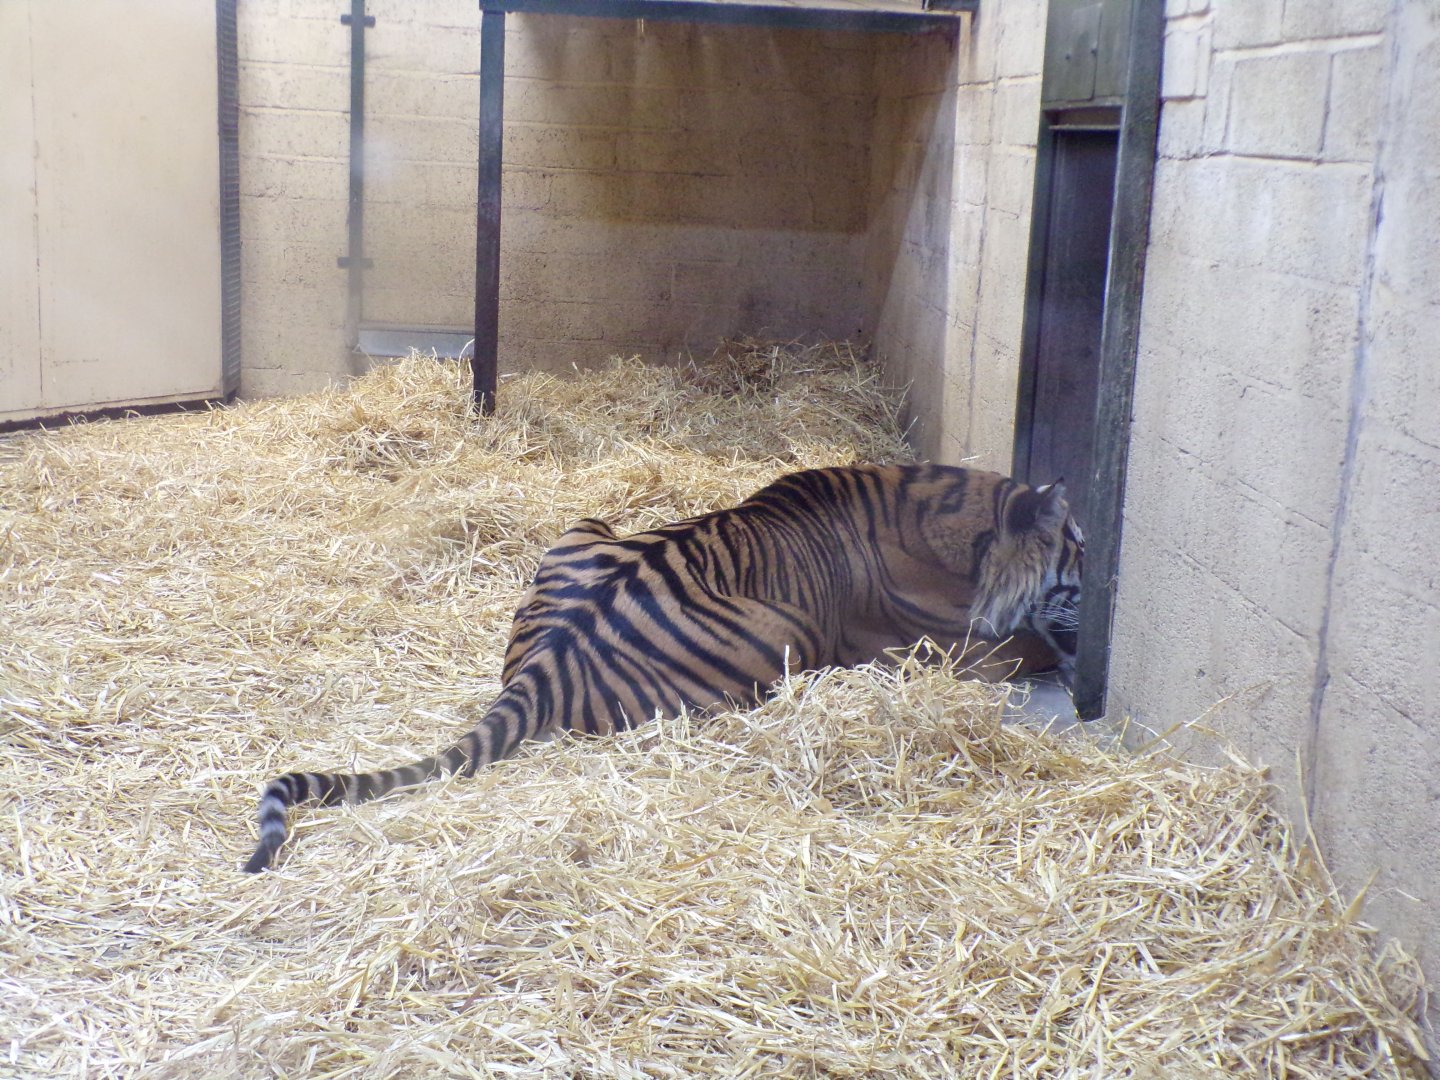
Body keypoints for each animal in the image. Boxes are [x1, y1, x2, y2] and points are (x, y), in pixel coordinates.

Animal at [243, 463, 1083, 872]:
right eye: (1076, 544)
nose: (1096, 570)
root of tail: (550, 654)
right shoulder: (928, 641)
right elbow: (1020, 647)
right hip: (782, 634)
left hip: (587, 523)